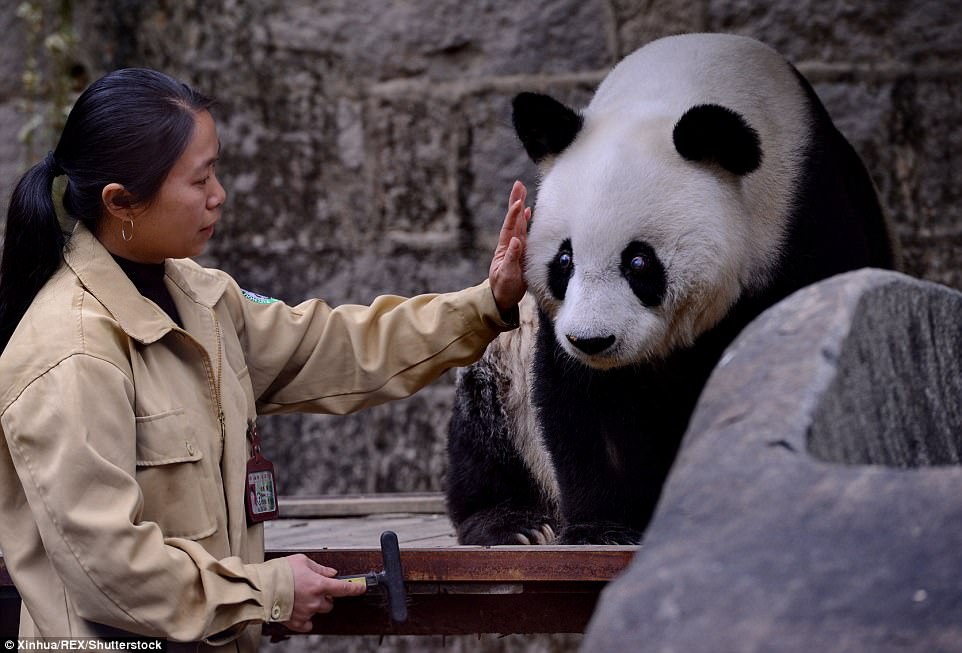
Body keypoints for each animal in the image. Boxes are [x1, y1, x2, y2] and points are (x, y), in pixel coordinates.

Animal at [446, 33, 896, 548]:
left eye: (639, 262)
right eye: (564, 261)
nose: (592, 340)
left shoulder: (807, 219)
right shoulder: (553, 321)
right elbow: (586, 399)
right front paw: (603, 529)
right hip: (508, 383)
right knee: (486, 417)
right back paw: (511, 521)